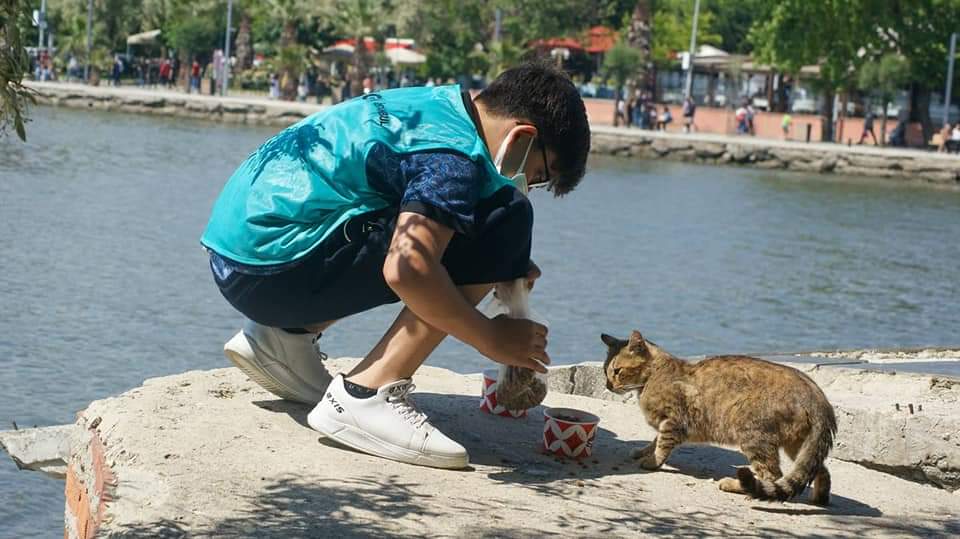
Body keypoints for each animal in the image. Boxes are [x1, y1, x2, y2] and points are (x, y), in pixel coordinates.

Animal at [604, 332, 836, 504]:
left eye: (617, 370)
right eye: (605, 371)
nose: (608, 385)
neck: (653, 376)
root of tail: (819, 398)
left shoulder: (673, 421)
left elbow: (661, 445)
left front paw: (652, 461)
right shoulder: (666, 423)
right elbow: (654, 441)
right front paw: (642, 451)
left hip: (754, 436)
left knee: (771, 475)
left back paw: (735, 486)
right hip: (798, 445)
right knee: (820, 471)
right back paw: (819, 499)